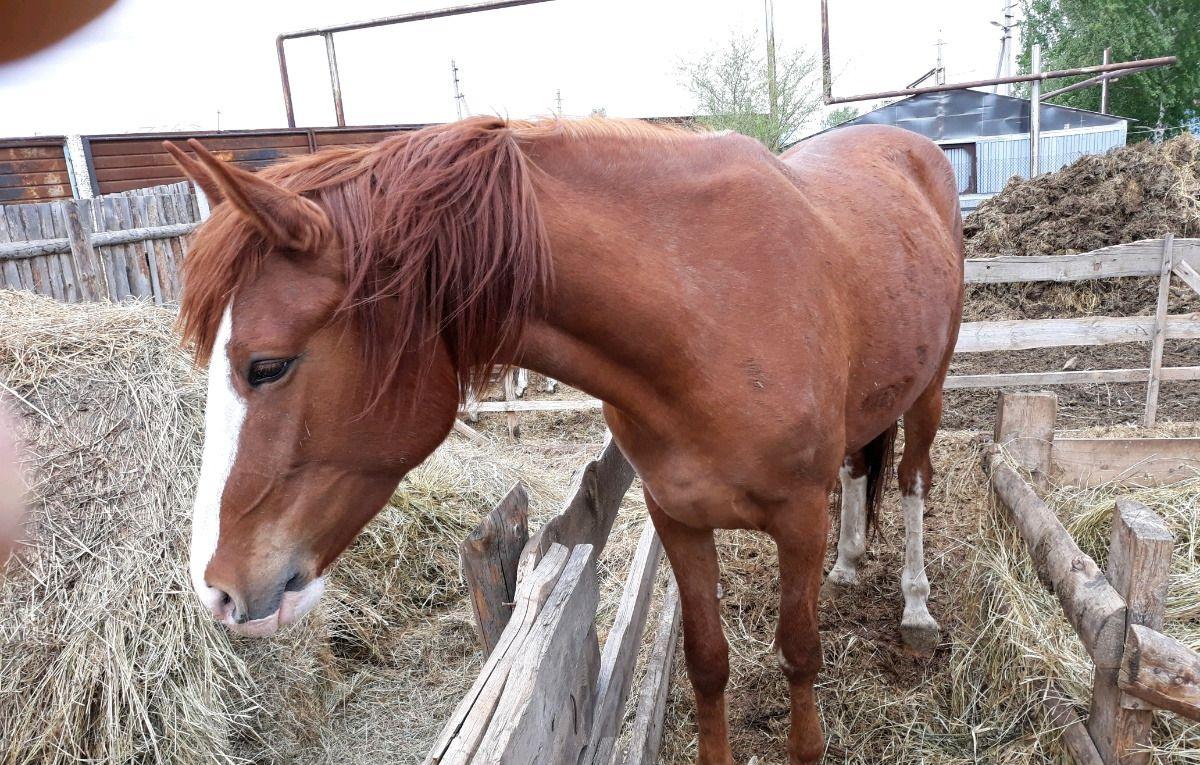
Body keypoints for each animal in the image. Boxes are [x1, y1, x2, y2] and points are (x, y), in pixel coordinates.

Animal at [164, 116, 960, 762]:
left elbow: (799, 653)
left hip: (931, 387)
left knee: (913, 480)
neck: (709, 311)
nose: (217, 590)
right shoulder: (679, 517)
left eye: (266, 366)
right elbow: (707, 659)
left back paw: (917, 607)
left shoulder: (796, 519)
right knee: (859, 468)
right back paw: (849, 562)